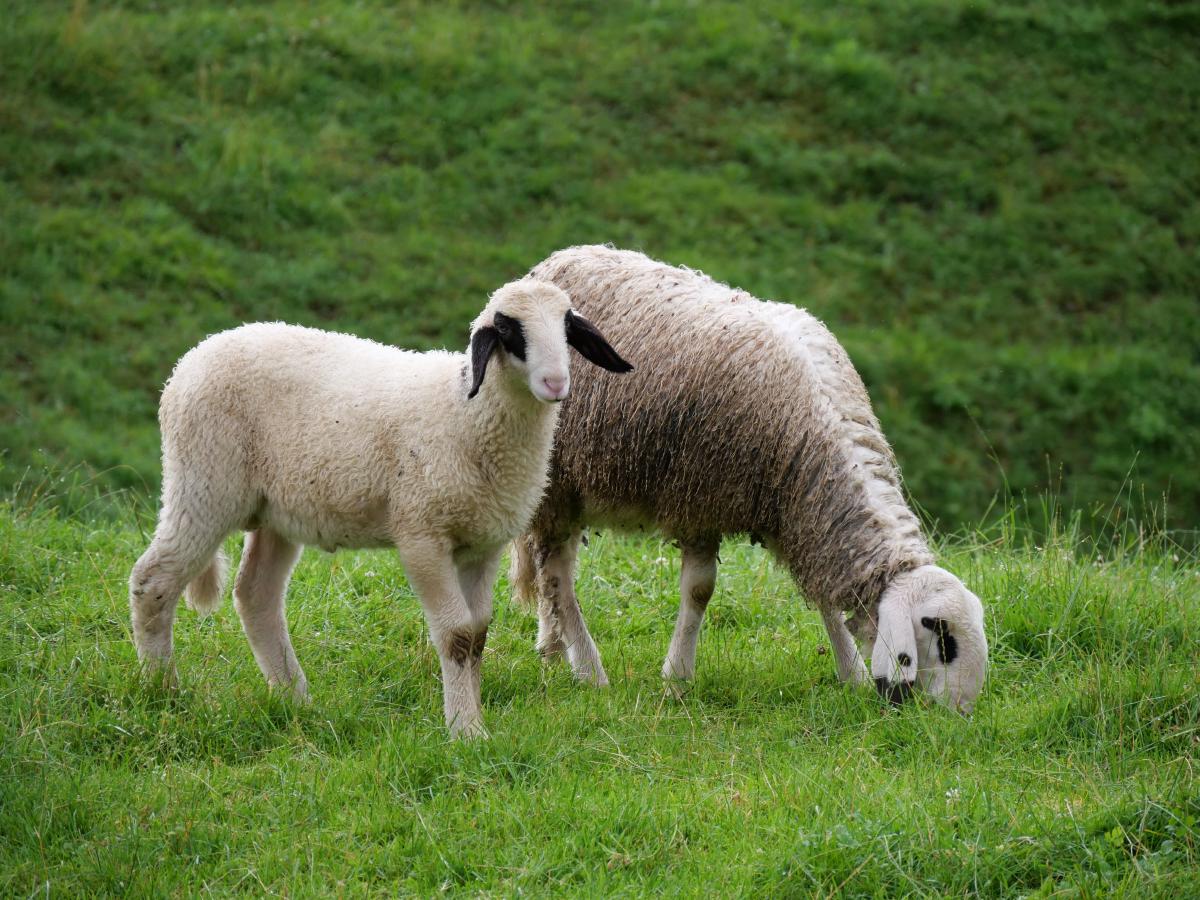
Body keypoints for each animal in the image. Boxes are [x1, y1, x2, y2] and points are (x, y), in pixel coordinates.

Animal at [128, 277, 633, 737]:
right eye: (509, 330)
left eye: (567, 327)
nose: (555, 383)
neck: (464, 412)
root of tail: (194, 356)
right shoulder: (422, 536)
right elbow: (456, 635)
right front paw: (465, 731)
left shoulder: (481, 543)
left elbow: (477, 635)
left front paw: (471, 718)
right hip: (203, 485)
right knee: (154, 580)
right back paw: (161, 690)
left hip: (277, 512)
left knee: (256, 595)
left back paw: (294, 699)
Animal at [511, 246, 987, 712]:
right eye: (943, 639)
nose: (958, 715)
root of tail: (556, 262)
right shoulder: (699, 498)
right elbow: (699, 591)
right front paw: (677, 678)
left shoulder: (798, 511)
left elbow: (824, 599)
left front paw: (850, 673)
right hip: (558, 483)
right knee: (558, 576)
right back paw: (590, 670)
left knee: (550, 568)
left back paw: (553, 647)